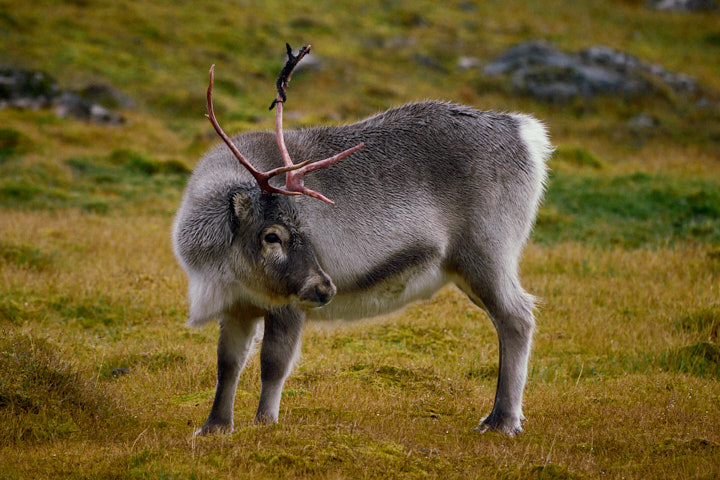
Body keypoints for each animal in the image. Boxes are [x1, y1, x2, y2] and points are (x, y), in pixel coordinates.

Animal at [172, 44, 552, 437]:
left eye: (305, 226)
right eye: (272, 235)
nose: (325, 287)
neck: (216, 266)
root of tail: (526, 134)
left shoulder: (287, 305)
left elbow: (273, 364)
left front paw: (265, 423)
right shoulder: (237, 304)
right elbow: (227, 364)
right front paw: (214, 427)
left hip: (487, 254)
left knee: (518, 316)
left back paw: (502, 419)